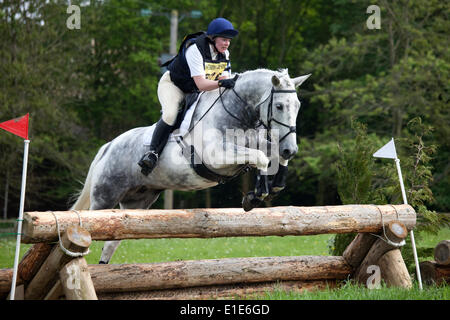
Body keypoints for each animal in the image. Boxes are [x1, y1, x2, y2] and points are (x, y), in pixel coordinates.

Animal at [71, 69, 310, 264]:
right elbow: (260, 157)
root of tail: (108, 146)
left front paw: (276, 184)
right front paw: (256, 195)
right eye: (279, 106)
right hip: (104, 198)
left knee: (111, 243)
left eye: (298, 106)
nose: (291, 149)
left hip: (136, 203)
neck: (235, 114)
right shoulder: (218, 156)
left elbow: (270, 152)